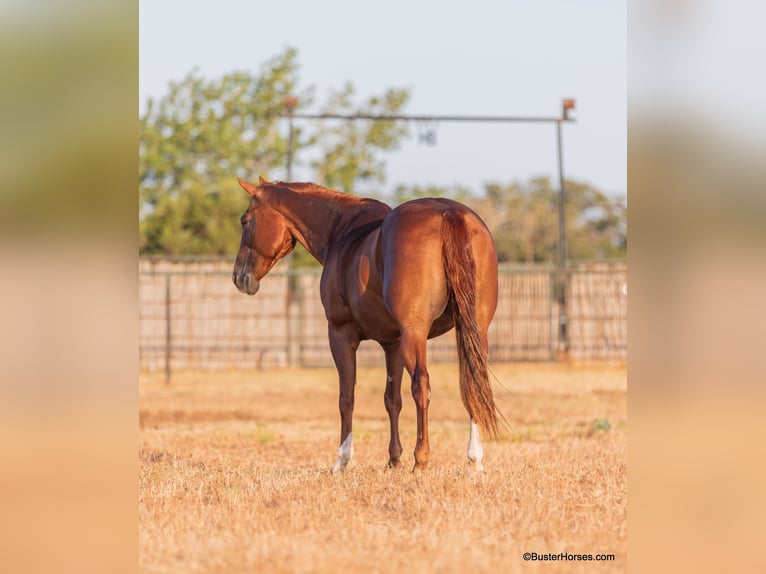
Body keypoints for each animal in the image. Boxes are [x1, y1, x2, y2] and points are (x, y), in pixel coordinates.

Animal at [231, 178, 500, 474]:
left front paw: (342, 461)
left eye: (245, 220)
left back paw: (421, 459)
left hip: (415, 336)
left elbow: (346, 398)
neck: (342, 233)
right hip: (474, 332)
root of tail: (449, 213)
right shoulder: (392, 344)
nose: (239, 277)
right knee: (473, 385)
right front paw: (394, 459)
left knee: (422, 386)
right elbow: (392, 399)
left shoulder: (341, 335)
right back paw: (474, 460)